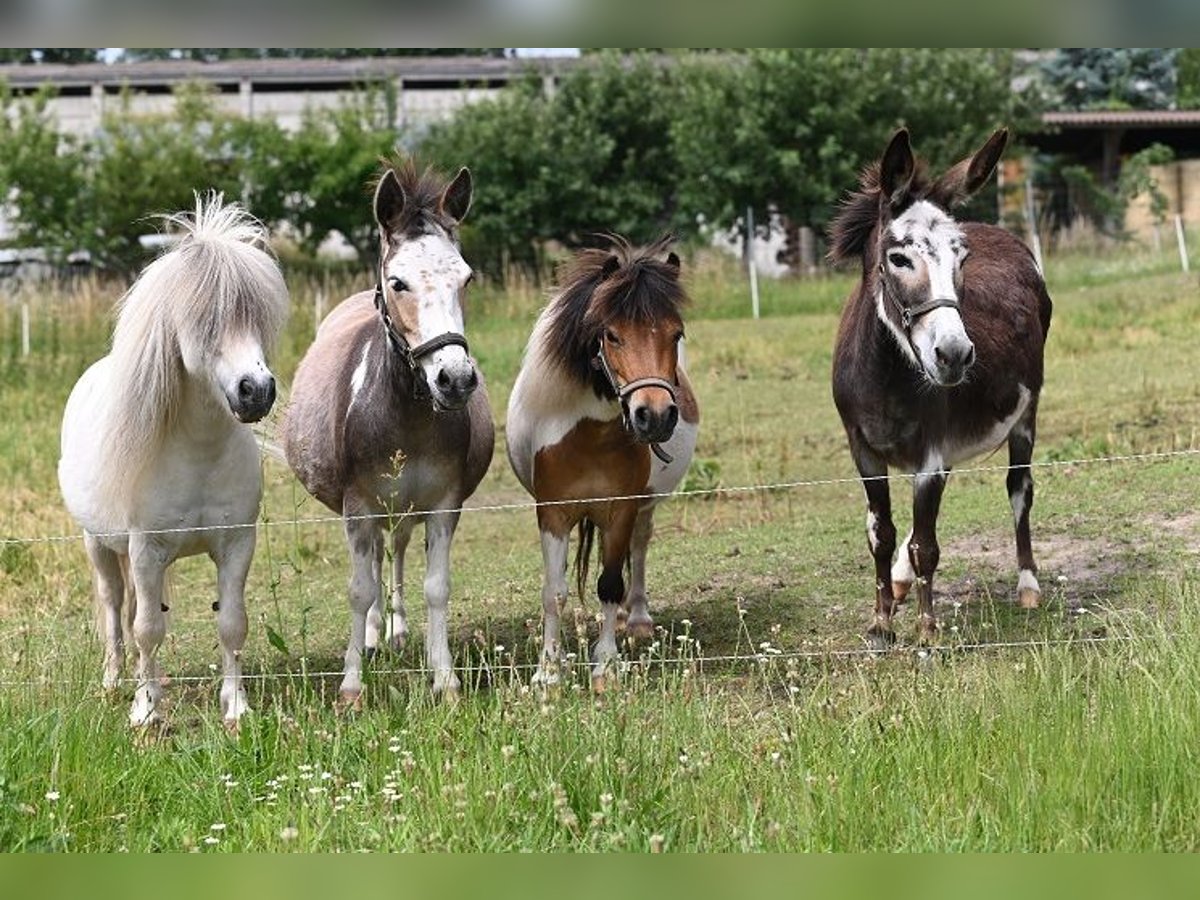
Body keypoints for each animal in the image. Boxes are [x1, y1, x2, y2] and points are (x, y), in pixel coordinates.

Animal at [58, 194, 289, 728]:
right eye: (205, 322)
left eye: (257, 317)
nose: (257, 391)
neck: (198, 455)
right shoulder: (146, 549)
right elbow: (146, 630)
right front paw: (145, 712)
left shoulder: (236, 545)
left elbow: (232, 623)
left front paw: (236, 706)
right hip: (99, 545)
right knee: (114, 608)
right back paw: (113, 682)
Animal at [281, 160, 492, 706]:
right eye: (398, 282)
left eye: (466, 278)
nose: (455, 379)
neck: (406, 415)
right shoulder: (357, 507)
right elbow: (359, 589)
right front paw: (352, 686)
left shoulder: (443, 504)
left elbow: (436, 586)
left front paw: (445, 679)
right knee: (376, 561)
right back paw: (376, 636)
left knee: (394, 551)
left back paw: (395, 632)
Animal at [506, 235, 699, 688]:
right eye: (611, 335)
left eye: (676, 333)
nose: (655, 415)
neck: (591, 438)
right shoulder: (553, 514)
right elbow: (554, 592)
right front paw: (548, 670)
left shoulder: (621, 510)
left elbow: (610, 583)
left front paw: (606, 664)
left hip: (643, 506)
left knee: (639, 549)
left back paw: (638, 617)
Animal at [829, 127, 1052, 648]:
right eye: (899, 258)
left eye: (961, 258)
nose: (954, 355)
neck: (884, 375)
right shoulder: (864, 452)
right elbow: (882, 534)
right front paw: (881, 623)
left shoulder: (930, 455)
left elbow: (926, 546)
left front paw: (928, 631)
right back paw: (899, 582)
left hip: (1026, 414)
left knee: (1020, 489)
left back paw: (1028, 585)